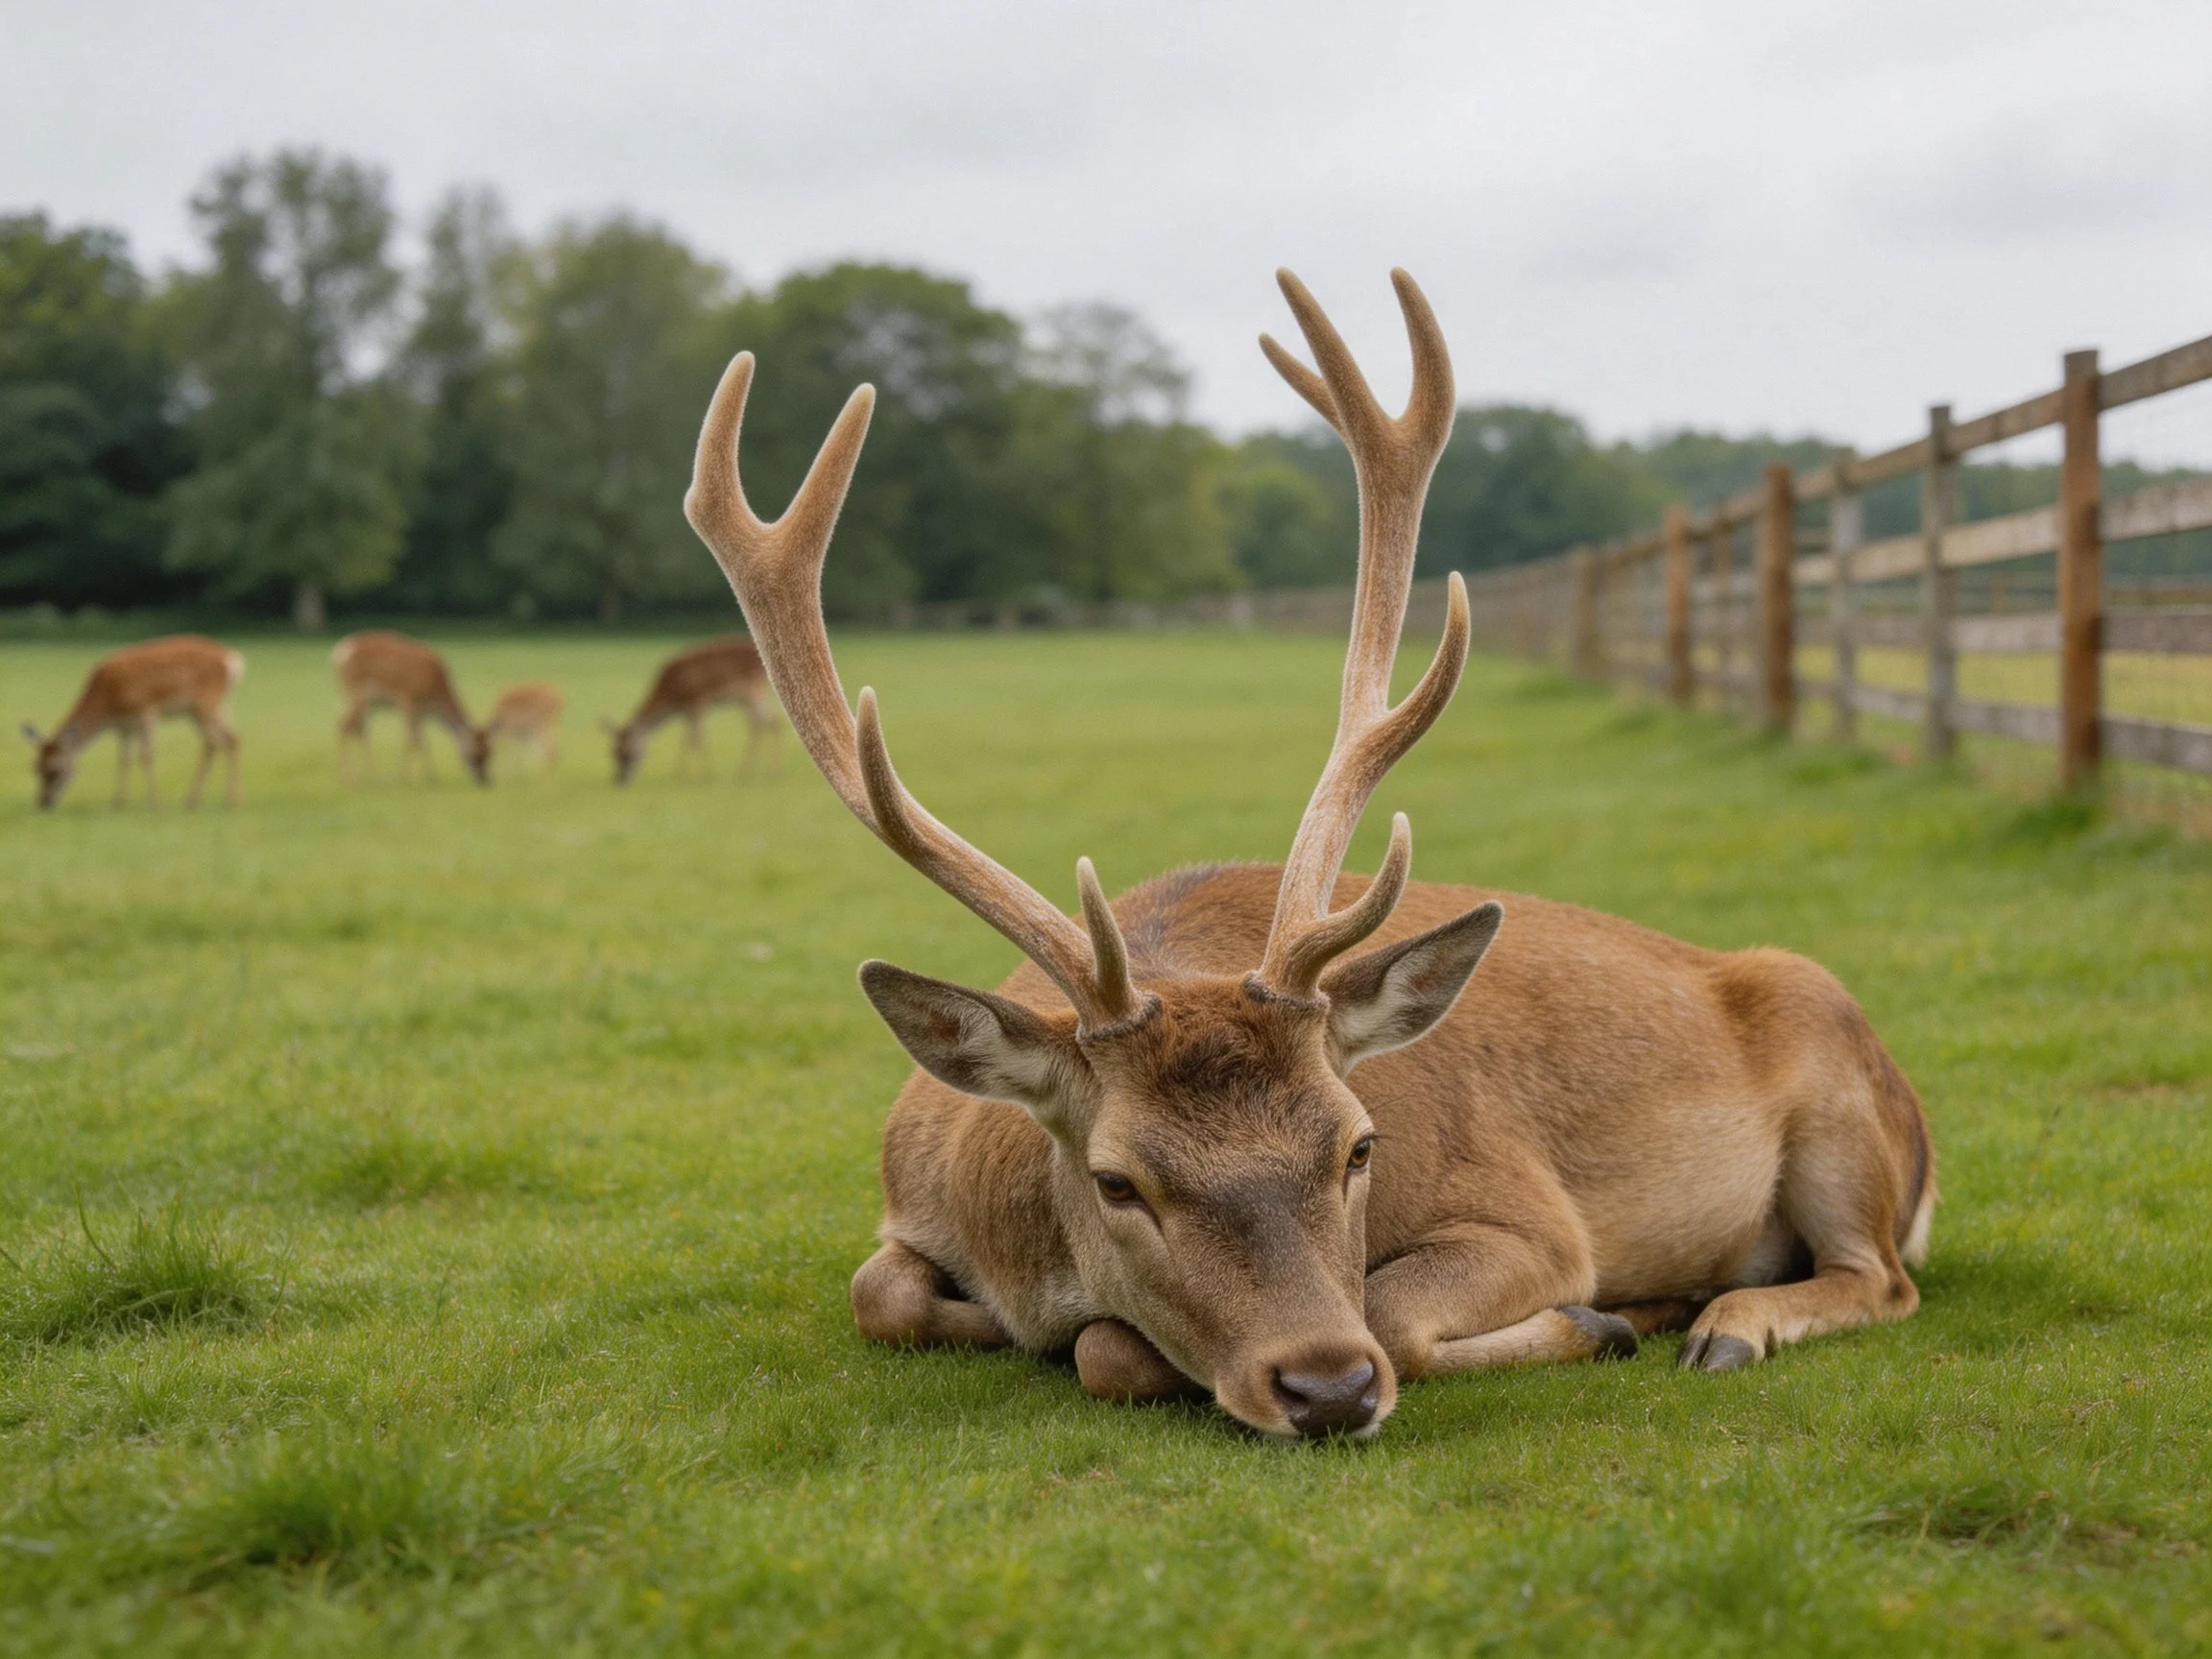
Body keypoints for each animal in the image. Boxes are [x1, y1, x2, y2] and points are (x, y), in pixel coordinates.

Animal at [22, 635, 245, 811]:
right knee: (217, 741)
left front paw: (155, 803)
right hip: (204, 709)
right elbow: (124, 760)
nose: (44, 802)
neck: (107, 705)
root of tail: (232, 660)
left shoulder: (146, 710)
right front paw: (117, 803)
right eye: (35, 767)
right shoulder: (124, 726)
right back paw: (194, 801)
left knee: (228, 739)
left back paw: (230, 801)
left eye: (55, 769)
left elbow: (146, 756)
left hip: (207, 703)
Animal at [333, 631, 490, 785]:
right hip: (356, 693)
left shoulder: (422, 712)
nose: (484, 780)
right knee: (344, 726)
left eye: (490, 752)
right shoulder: (408, 698)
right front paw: (404, 777)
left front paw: (432, 777)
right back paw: (351, 778)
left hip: (365, 702)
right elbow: (410, 738)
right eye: (477, 754)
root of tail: (339, 653)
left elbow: (423, 741)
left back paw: (367, 776)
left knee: (358, 729)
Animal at [602, 637, 777, 785]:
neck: (670, 695)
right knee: (769, 723)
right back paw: (760, 771)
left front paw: (704, 774)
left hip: (752, 691)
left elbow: (697, 738)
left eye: (629, 754)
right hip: (748, 697)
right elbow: (686, 738)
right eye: (612, 752)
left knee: (764, 724)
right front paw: (678, 773)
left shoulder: (697, 699)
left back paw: (756, 771)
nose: (620, 780)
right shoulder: (685, 710)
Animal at [684, 269, 1934, 1441]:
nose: (1328, 1387)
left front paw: (1605, 1318)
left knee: (1883, 1278)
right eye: (1117, 1179)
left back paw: (1719, 1323)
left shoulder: (1529, 1216)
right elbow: (879, 1292)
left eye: (1359, 1146)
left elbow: (1265, 1328)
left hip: (1841, 1100)